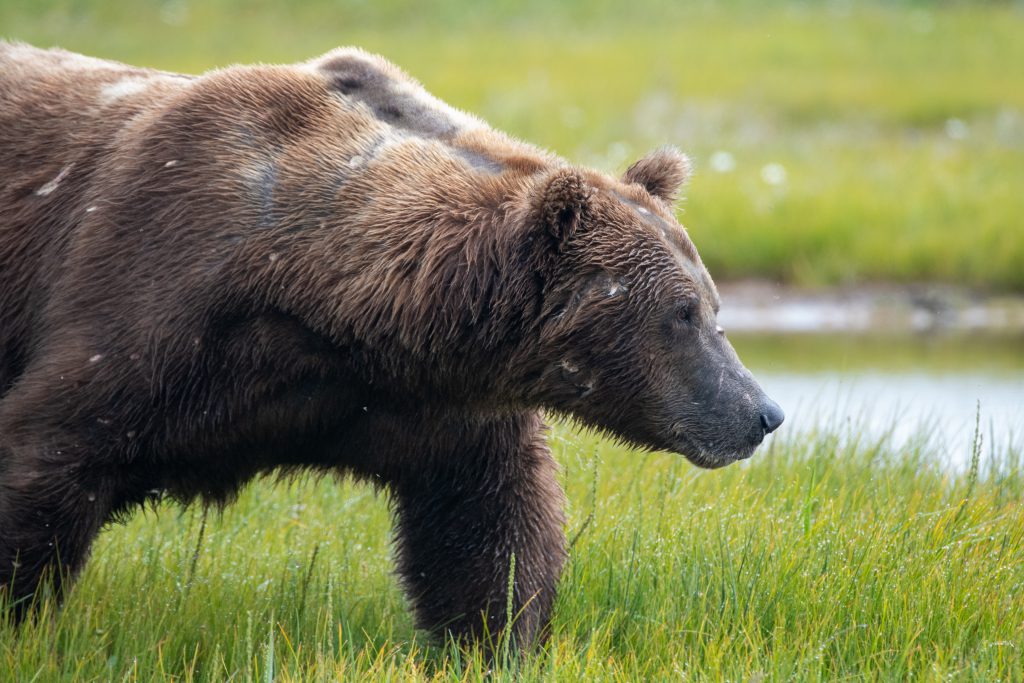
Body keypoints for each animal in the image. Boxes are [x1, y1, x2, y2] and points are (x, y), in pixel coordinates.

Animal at [2, 44, 782, 651]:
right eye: (683, 313)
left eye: (713, 307)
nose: (762, 411)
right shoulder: (153, 305)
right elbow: (47, 458)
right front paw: (22, 622)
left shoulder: (423, 405)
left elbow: (492, 526)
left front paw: (495, 640)